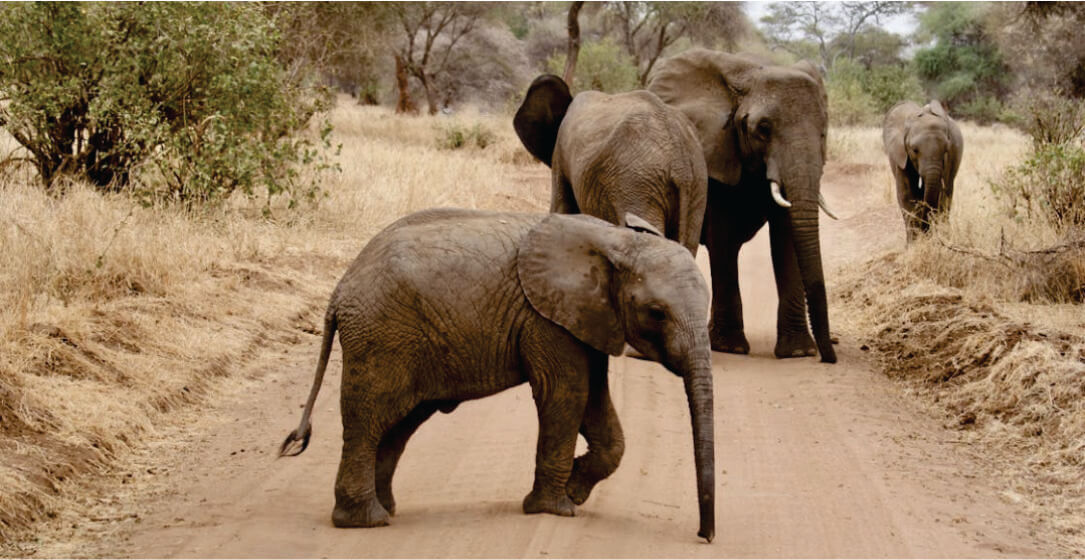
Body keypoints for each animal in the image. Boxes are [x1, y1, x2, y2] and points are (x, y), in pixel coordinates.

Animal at [279, 208, 716, 542]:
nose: (704, 536)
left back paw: (384, 509)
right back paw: (365, 522)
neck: (616, 240)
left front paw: (574, 491)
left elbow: (594, 400)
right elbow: (566, 394)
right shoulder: (546, 319)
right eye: (656, 313)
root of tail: (339, 290)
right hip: (381, 338)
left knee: (398, 427)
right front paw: (555, 509)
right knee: (368, 423)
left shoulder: (585, 317)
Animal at [647, 48, 838, 363]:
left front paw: (798, 352)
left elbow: (786, 239)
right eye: (763, 128)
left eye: (823, 132)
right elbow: (722, 237)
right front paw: (730, 348)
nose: (827, 357)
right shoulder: (716, 149)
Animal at [882, 100, 963, 243]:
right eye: (914, 150)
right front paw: (913, 244)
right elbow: (907, 193)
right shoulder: (901, 155)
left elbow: (940, 194)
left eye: (946, 150)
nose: (925, 229)